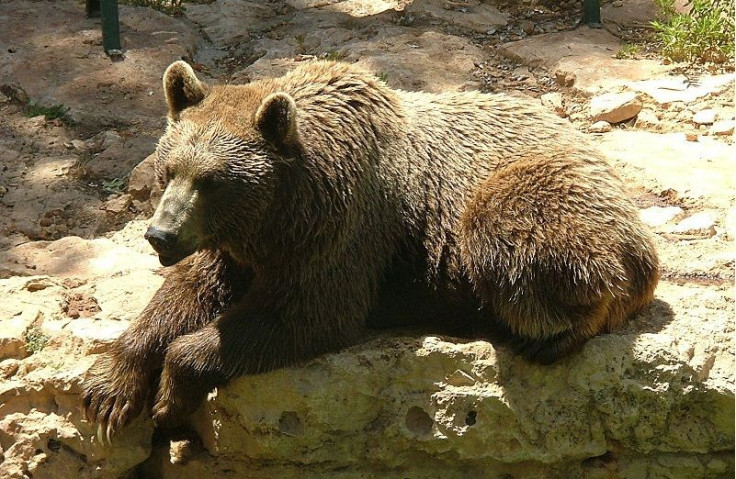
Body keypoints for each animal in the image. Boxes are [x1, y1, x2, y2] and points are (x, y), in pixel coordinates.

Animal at [82, 60, 660, 438]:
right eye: (169, 169)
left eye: (212, 181)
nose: (160, 235)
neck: (283, 212)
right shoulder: (238, 247)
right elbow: (187, 292)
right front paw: (110, 391)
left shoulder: (346, 230)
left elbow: (304, 313)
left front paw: (170, 394)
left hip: (536, 201)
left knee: (516, 240)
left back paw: (552, 334)